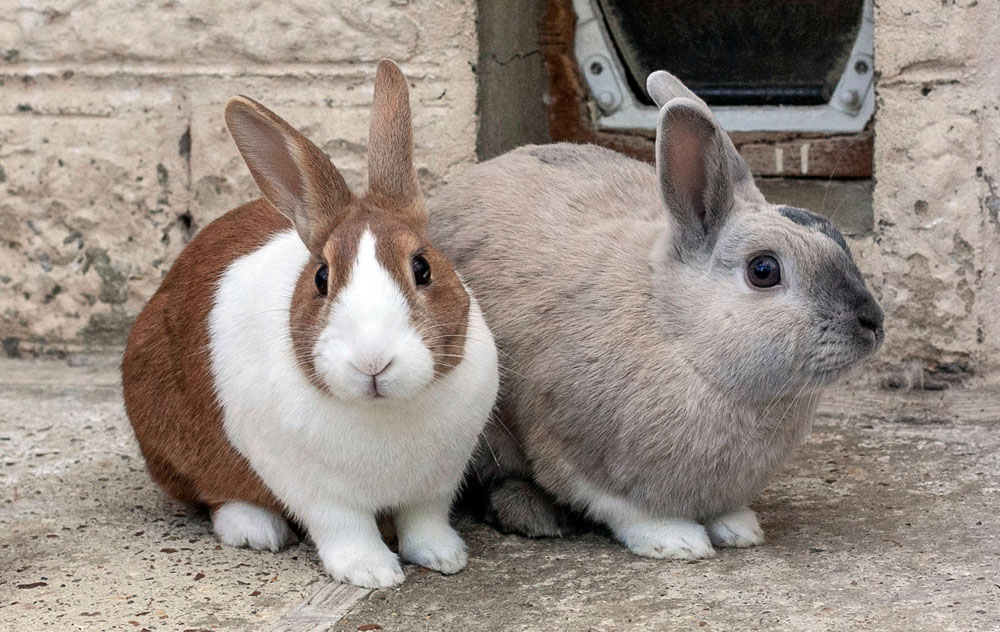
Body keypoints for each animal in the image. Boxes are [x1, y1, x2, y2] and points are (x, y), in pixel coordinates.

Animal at [121, 59, 500, 588]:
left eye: (422, 267)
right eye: (321, 277)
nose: (372, 362)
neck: (384, 413)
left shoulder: (435, 484)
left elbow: (423, 521)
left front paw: (445, 558)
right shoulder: (315, 490)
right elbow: (345, 528)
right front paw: (373, 574)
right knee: (213, 493)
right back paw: (255, 531)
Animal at [426, 69, 884, 559]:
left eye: (837, 236)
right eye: (763, 270)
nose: (873, 322)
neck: (682, 339)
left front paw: (739, 529)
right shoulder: (572, 448)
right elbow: (622, 507)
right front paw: (678, 541)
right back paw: (533, 514)